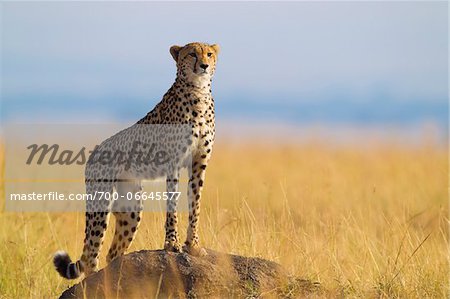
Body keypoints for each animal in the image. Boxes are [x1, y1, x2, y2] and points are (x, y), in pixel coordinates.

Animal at [54, 41, 220, 278]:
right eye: (191, 54)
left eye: (209, 53)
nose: (204, 65)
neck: (198, 91)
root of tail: (94, 153)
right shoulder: (173, 162)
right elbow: (172, 204)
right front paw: (172, 244)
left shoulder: (199, 162)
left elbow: (194, 204)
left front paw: (194, 245)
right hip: (100, 202)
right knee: (91, 254)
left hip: (131, 208)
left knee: (111, 253)